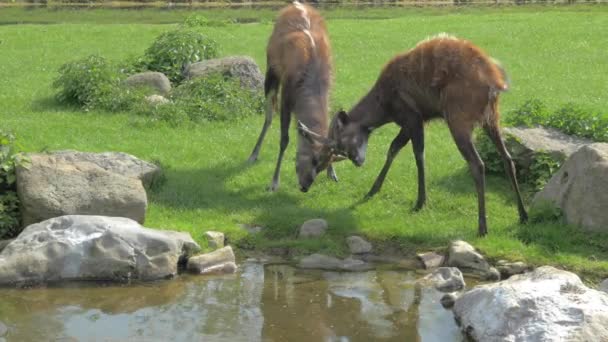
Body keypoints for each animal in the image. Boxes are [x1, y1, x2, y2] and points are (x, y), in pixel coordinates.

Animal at [247, 0, 342, 192]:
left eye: (321, 166)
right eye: (312, 158)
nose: (305, 186)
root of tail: (295, 4)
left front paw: (333, 173)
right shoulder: (287, 96)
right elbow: (284, 139)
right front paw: (274, 182)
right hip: (271, 71)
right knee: (269, 115)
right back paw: (253, 154)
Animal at [300, 34, 528, 235]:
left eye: (341, 143)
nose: (358, 161)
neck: (385, 107)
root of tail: (496, 84)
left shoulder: (413, 116)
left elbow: (416, 155)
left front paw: (420, 201)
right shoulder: (412, 122)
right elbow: (394, 148)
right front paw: (373, 190)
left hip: (459, 119)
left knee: (478, 164)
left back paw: (482, 226)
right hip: (492, 118)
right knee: (508, 158)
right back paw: (523, 214)